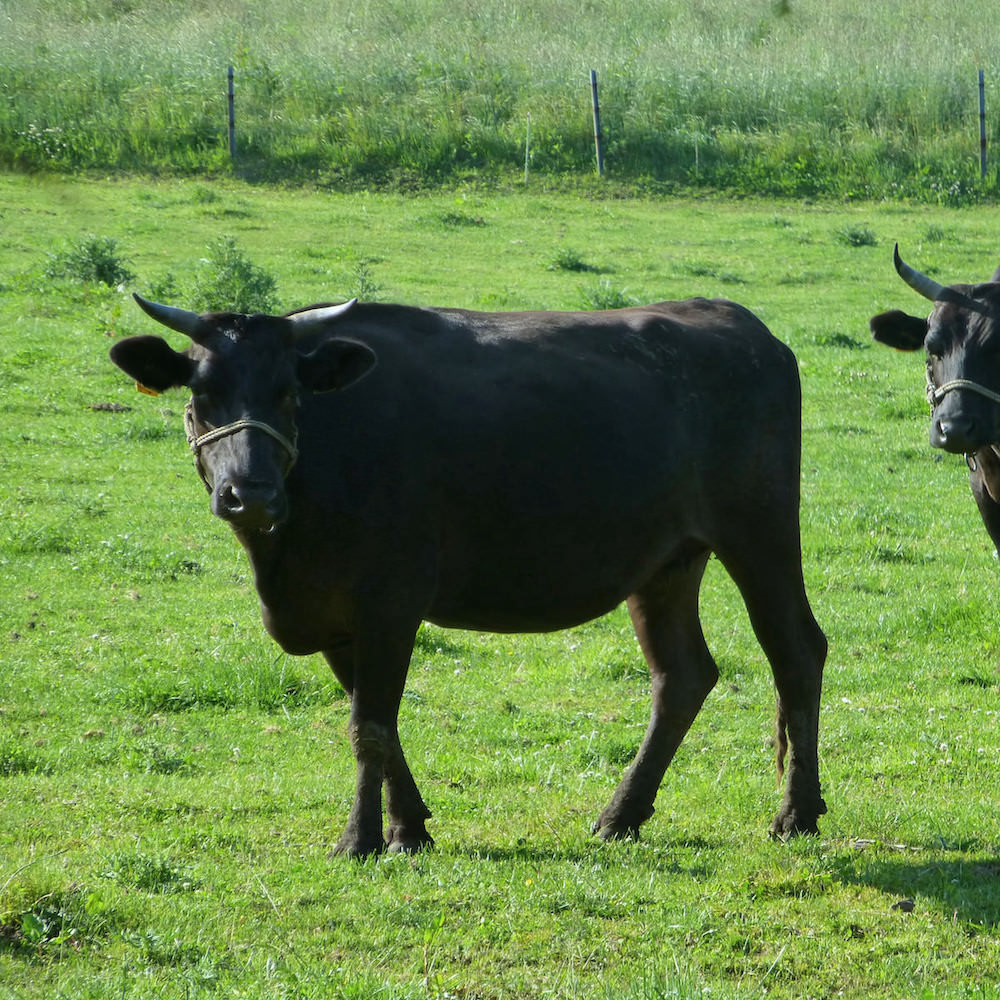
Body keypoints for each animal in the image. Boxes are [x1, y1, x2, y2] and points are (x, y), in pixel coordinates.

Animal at [109, 292, 828, 856]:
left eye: (289, 394)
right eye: (202, 394)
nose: (249, 494)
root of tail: (742, 324)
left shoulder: (389, 601)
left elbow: (369, 727)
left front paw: (360, 839)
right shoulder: (339, 619)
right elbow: (379, 724)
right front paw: (409, 828)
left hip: (759, 532)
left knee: (796, 650)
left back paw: (797, 813)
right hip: (668, 561)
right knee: (682, 675)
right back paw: (621, 815)